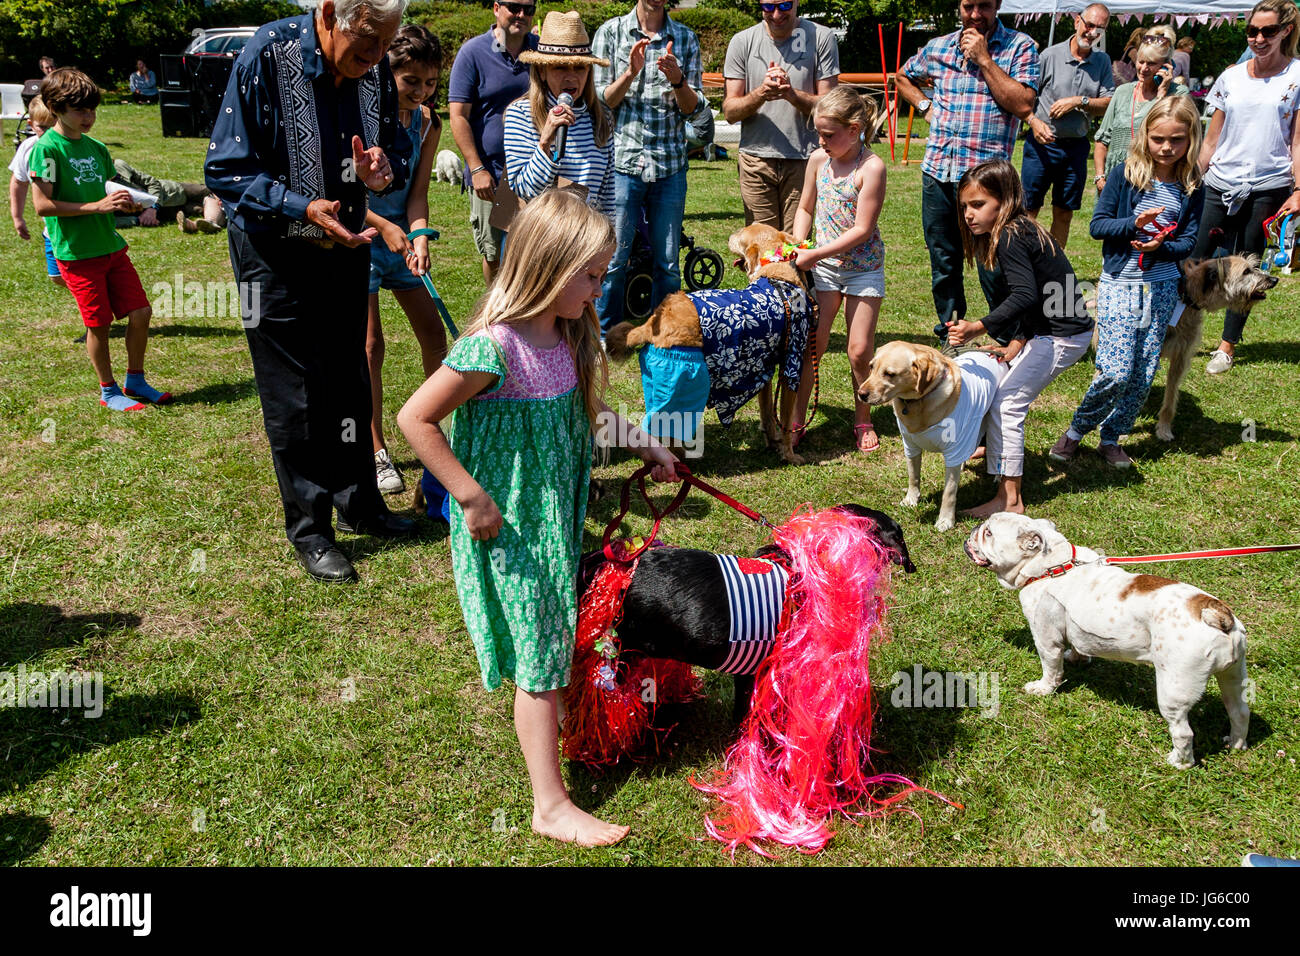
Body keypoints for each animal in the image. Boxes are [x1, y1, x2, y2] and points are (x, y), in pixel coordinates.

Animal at [967, 515, 1248, 770]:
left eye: (988, 533)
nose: (975, 527)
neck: (1050, 566)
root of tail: (1217, 613)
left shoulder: (1046, 638)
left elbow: (1051, 667)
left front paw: (1044, 688)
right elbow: (1077, 646)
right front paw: (1077, 659)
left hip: (1175, 688)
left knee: (1183, 732)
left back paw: (1178, 763)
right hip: (1233, 675)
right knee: (1239, 710)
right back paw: (1236, 744)